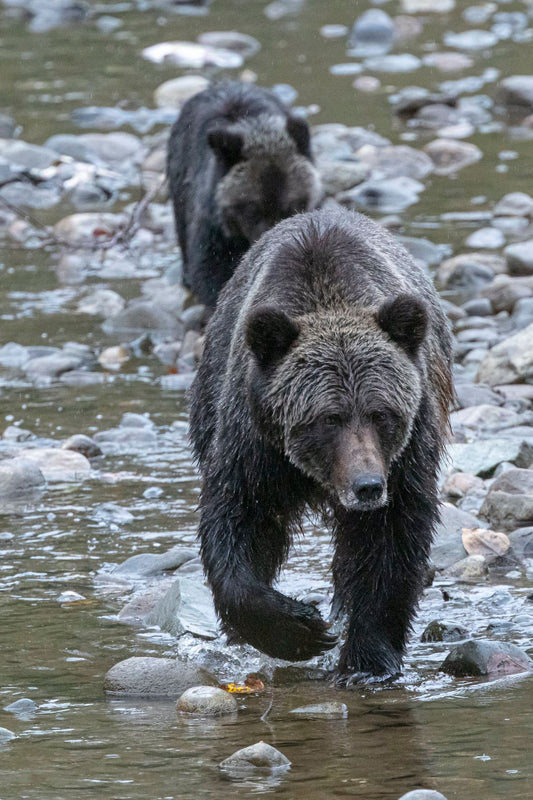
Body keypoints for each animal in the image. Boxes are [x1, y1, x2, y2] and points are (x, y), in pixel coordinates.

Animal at [189, 206, 453, 684]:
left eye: (381, 413)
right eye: (329, 417)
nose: (367, 486)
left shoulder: (406, 456)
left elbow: (390, 541)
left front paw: (366, 662)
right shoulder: (254, 443)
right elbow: (238, 520)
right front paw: (298, 628)